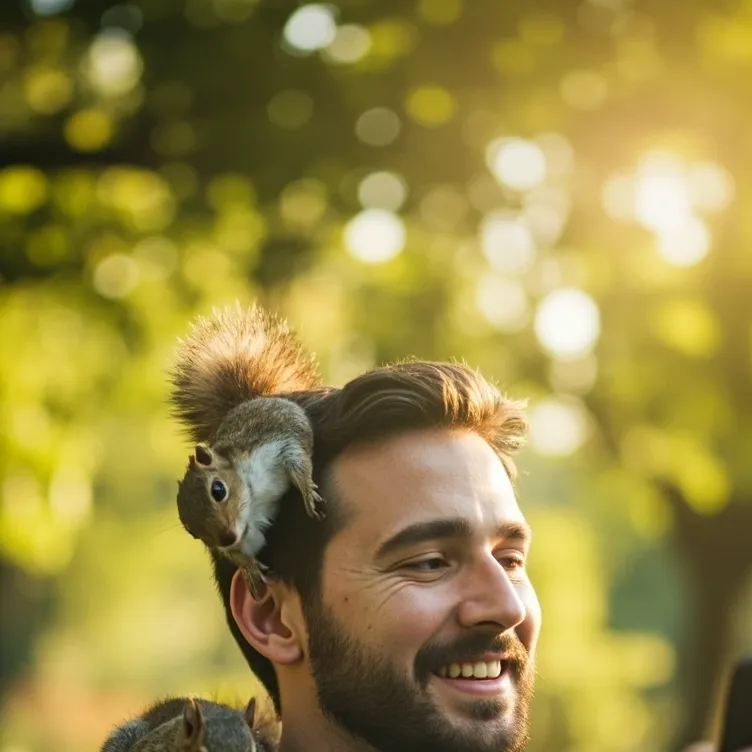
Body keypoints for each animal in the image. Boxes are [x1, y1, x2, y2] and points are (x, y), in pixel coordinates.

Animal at [169, 303, 326, 591]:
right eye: (193, 532)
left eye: (218, 490)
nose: (227, 537)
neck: (252, 496)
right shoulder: (248, 536)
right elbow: (240, 554)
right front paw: (250, 567)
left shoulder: (274, 437)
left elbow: (296, 456)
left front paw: (307, 491)